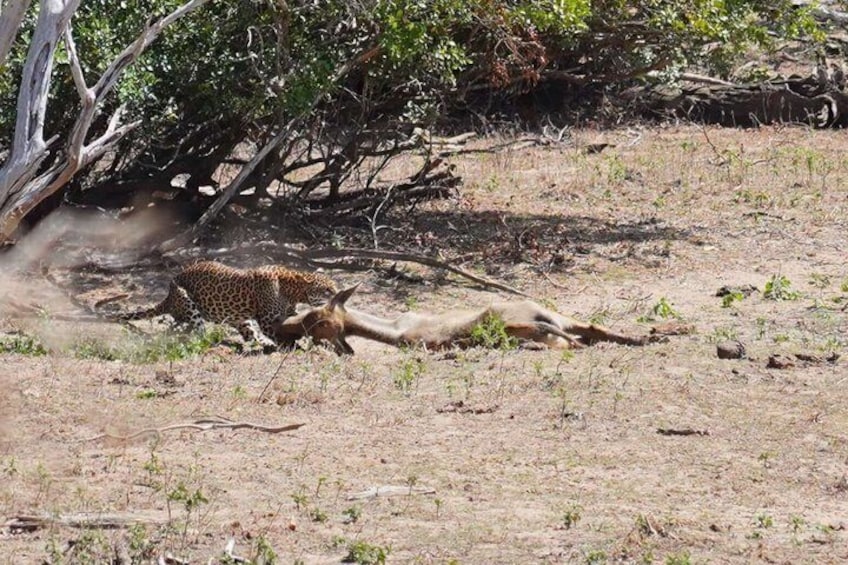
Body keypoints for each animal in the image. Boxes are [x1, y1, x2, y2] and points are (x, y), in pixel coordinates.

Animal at [112, 261, 338, 351]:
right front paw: (295, 346)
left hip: (239, 317)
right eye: (327, 289)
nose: (337, 296)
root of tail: (167, 296)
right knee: (199, 333)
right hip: (186, 300)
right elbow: (279, 332)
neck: (292, 289)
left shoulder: (289, 313)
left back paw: (262, 344)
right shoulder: (268, 319)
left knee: (249, 335)